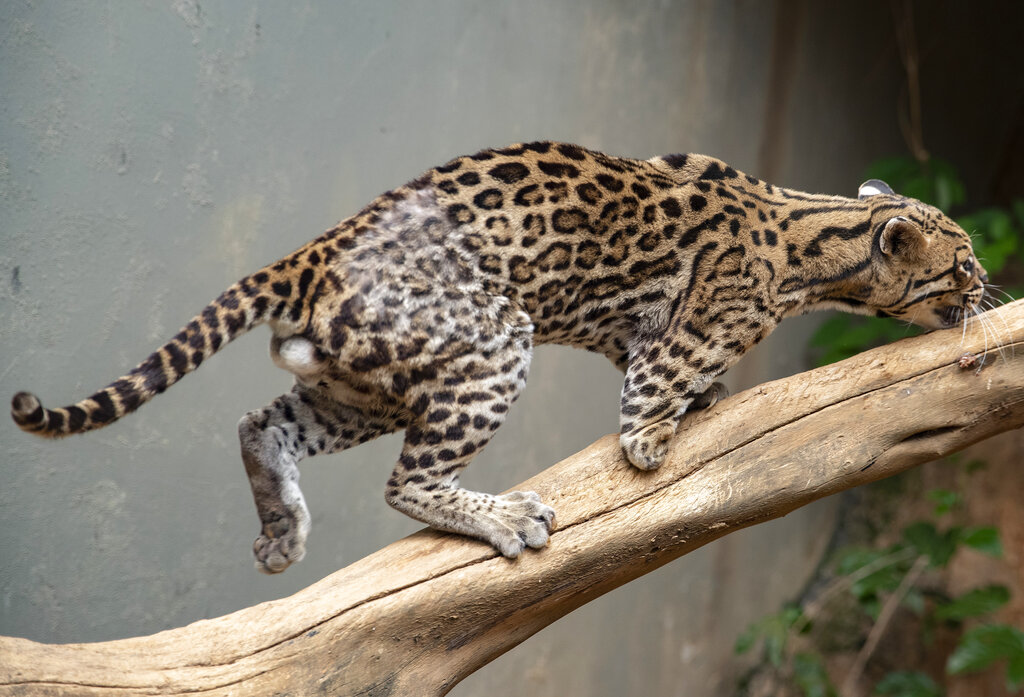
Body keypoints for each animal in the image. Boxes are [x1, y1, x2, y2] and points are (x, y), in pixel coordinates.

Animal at [8, 141, 987, 569]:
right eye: (966, 263)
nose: (989, 288)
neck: (822, 237)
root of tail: (315, 251)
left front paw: (707, 402)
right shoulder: (668, 350)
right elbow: (646, 421)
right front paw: (672, 432)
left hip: (361, 382)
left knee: (260, 422)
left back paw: (282, 530)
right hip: (490, 344)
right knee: (406, 482)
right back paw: (504, 517)